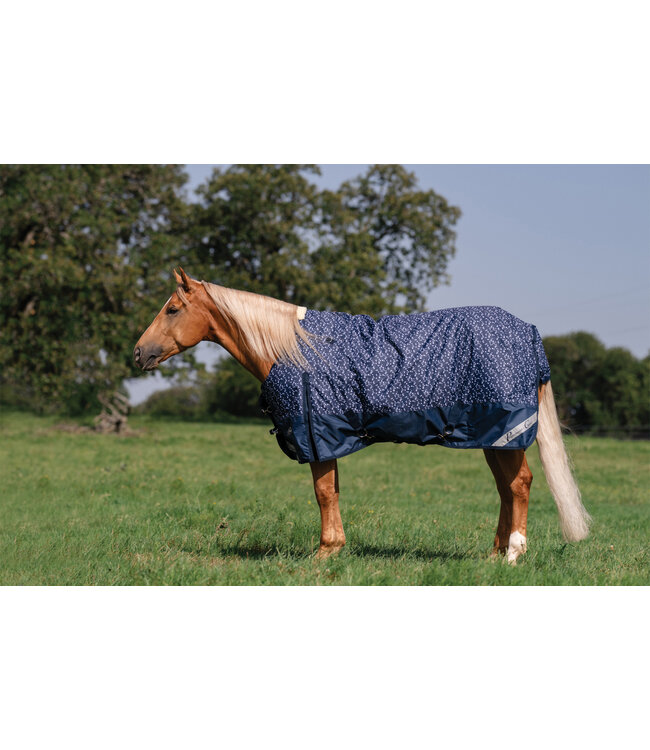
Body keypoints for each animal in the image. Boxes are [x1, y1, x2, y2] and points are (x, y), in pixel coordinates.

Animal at [134, 268, 591, 563]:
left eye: (172, 309)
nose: (139, 353)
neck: (293, 349)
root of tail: (529, 332)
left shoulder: (317, 435)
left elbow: (322, 493)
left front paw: (323, 554)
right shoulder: (328, 439)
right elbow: (332, 491)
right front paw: (334, 549)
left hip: (507, 432)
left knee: (519, 485)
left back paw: (514, 553)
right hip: (490, 435)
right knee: (506, 489)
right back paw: (494, 555)